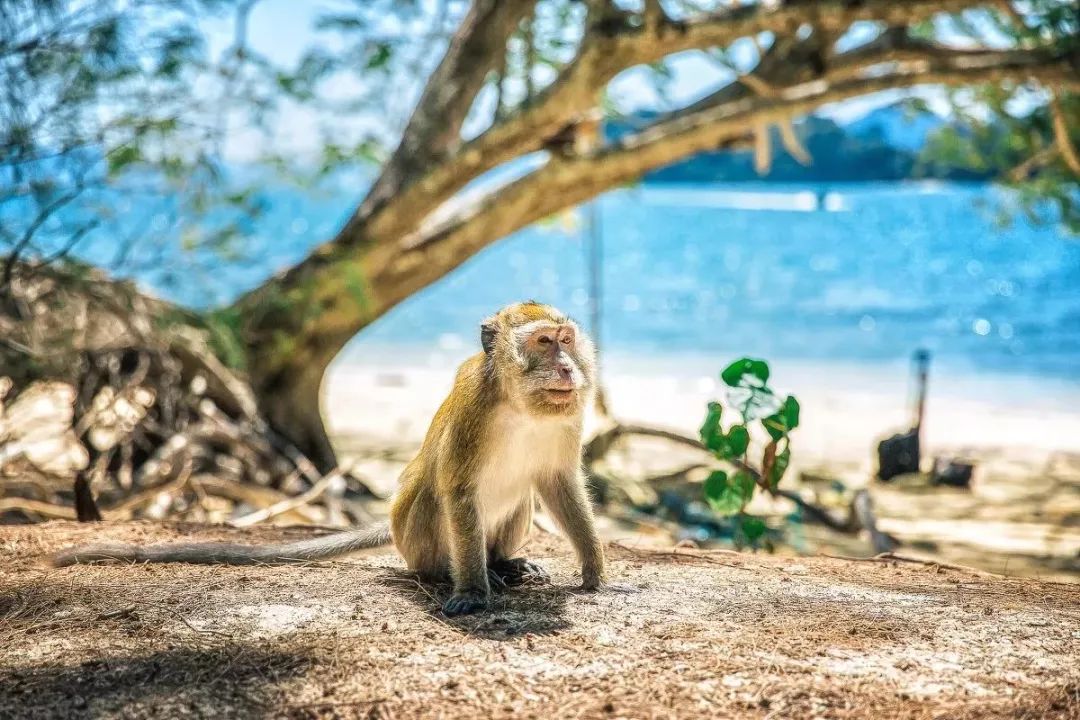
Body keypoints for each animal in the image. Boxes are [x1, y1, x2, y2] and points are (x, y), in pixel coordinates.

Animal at [48, 302, 609, 617]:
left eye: (565, 341)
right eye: (542, 342)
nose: (566, 367)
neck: (518, 403)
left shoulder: (570, 415)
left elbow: (558, 482)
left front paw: (594, 570)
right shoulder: (475, 403)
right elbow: (458, 488)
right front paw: (472, 589)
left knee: (525, 496)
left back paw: (505, 564)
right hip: (417, 538)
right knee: (435, 502)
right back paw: (451, 573)